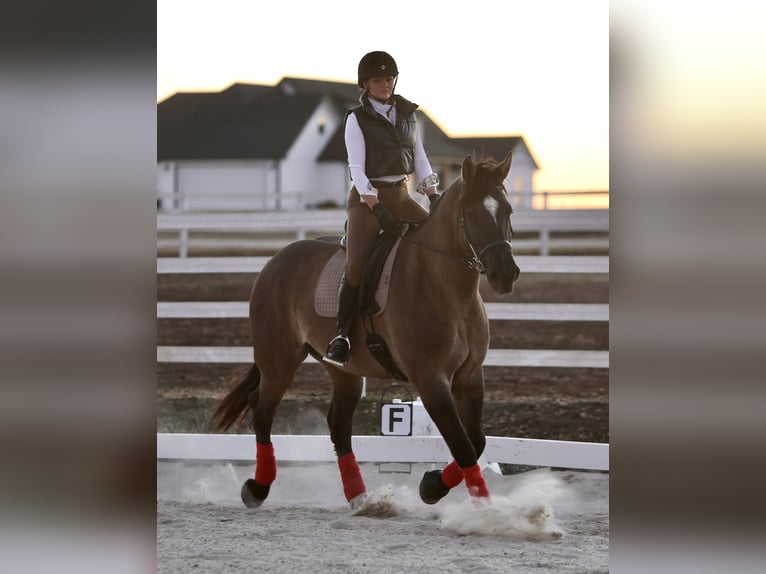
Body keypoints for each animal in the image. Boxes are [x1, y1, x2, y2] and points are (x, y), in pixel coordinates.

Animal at [212, 151, 520, 510]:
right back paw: (257, 488)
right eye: (470, 214)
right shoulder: (430, 380)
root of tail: (276, 260)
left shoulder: (470, 376)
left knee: (338, 425)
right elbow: (463, 444)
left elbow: (477, 441)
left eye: (508, 210)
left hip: (344, 371)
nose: (506, 274)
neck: (445, 289)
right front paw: (480, 507)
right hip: (279, 361)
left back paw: (359, 496)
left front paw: (432, 484)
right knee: (262, 410)